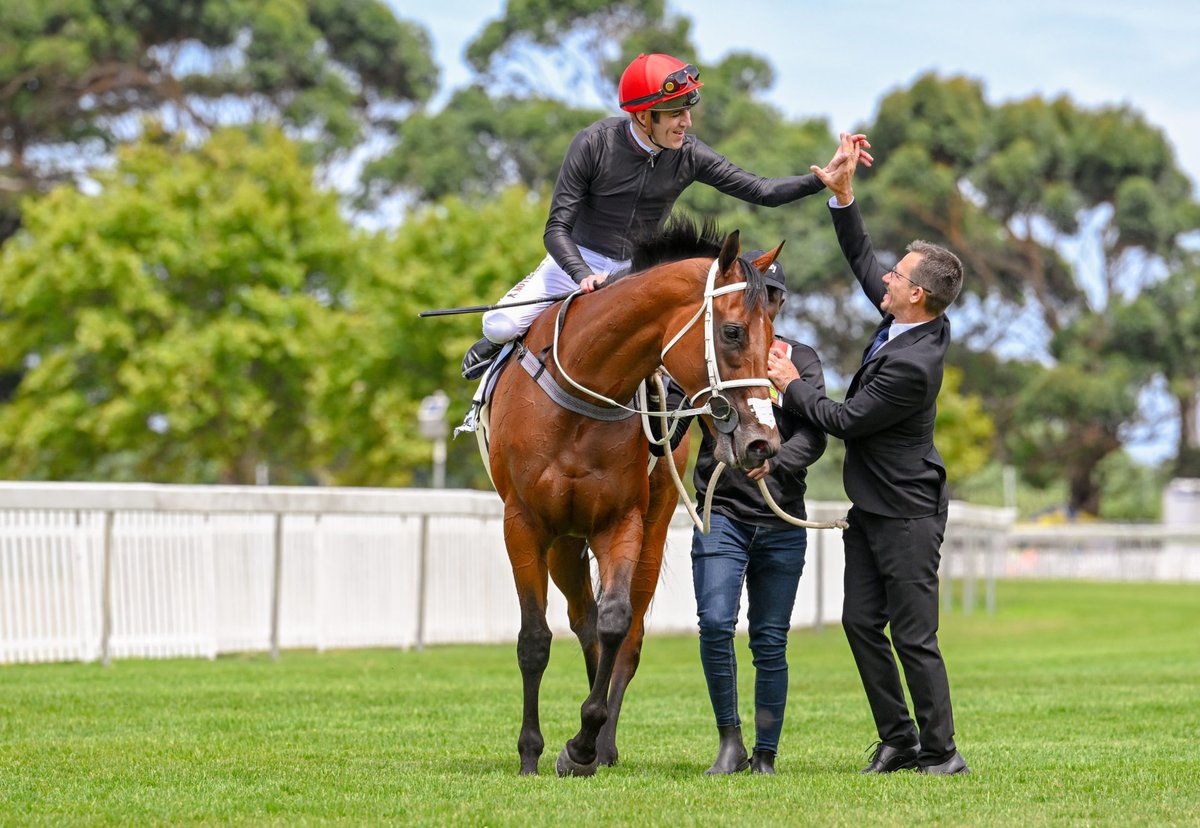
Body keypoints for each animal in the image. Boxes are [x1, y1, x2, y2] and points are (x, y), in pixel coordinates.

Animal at [483, 220, 783, 776]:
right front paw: (531, 750)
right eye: (732, 332)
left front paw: (583, 743)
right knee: (580, 619)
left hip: (651, 525)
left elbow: (617, 622)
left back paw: (600, 745)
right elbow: (535, 639)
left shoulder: (621, 521)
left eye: (773, 338)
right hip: (562, 541)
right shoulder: (524, 523)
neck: (583, 394)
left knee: (623, 631)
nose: (762, 443)